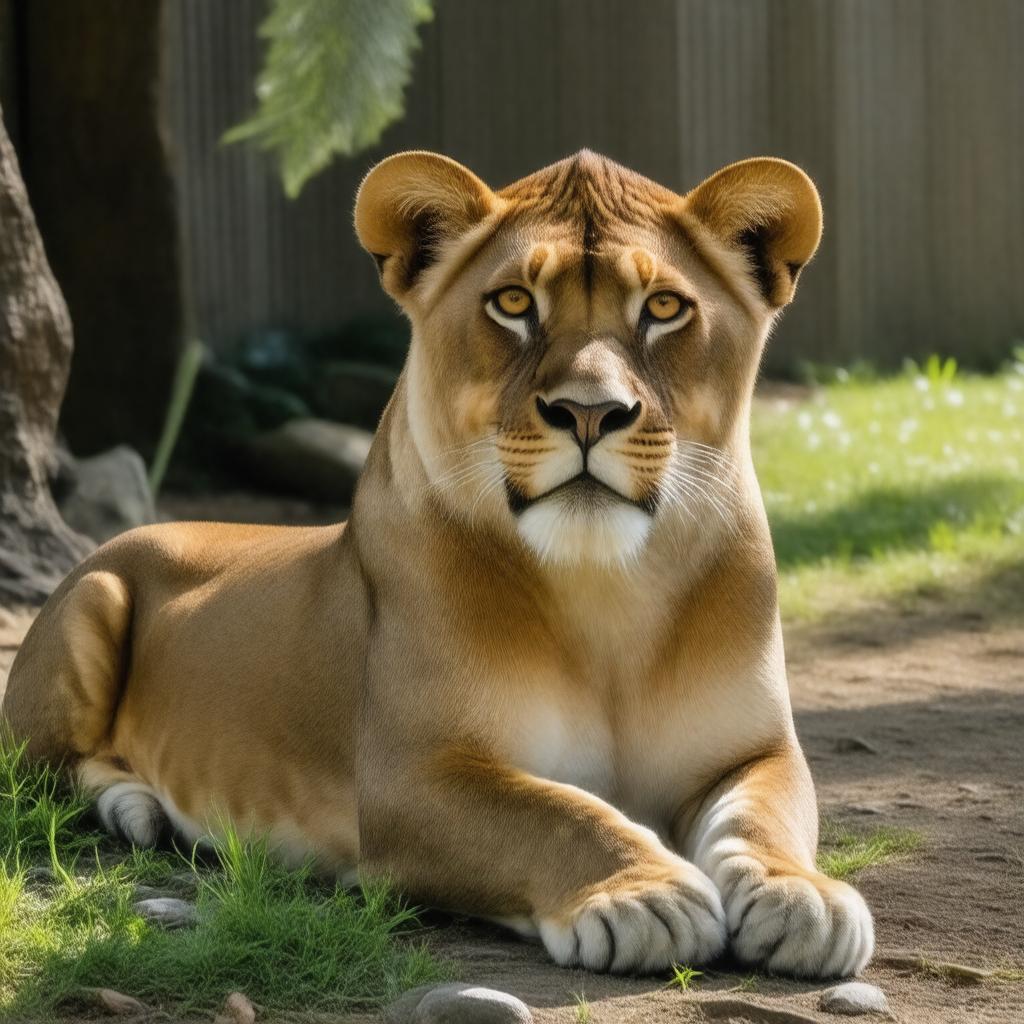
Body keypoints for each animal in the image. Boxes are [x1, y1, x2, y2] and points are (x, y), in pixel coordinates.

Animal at [3, 149, 874, 978]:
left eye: (664, 308)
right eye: (514, 303)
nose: (589, 412)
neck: (606, 595)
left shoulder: (753, 750)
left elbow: (764, 815)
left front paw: (803, 897)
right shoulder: (409, 781)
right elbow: (555, 814)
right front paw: (645, 894)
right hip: (95, 603)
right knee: (47, 775)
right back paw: (133, 807)